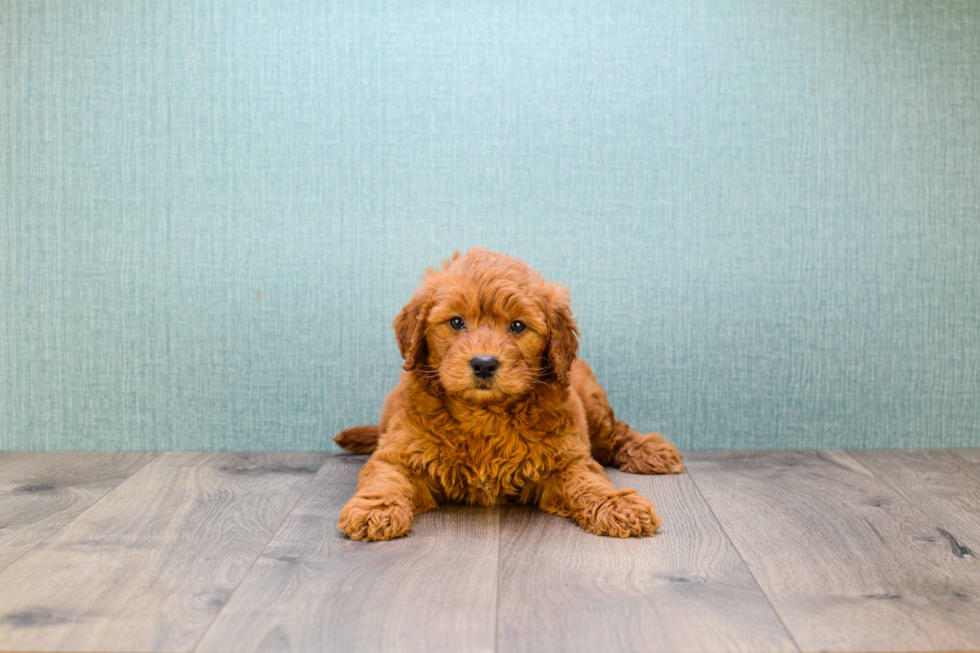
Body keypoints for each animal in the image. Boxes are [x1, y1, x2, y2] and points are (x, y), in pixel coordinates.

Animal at [334, 250, 680, 540]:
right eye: (456, 321)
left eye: (517, 326)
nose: (484, 364)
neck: (484, 413)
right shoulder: (399, 453)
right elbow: (384, 478)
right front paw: (375, 510)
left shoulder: (566, 458)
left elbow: (589, 480)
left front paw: (617, 504)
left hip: (593, 404)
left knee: (615, 434)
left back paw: (652, 451)